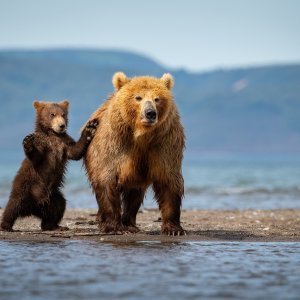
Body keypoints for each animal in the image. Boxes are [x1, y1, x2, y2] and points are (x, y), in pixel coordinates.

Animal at [0, 99, 98, 231]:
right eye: (52, 114)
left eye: (63, 114)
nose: (62, 125)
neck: (53, 135)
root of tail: (32, 209)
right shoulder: (43, 144)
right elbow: (37, 157)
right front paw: (28, 142)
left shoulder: (64, 143)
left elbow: (75, 151)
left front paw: (90, 128)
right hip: (25, 187)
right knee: (13, 206)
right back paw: (6, 225)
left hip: (52, 196)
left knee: (59, 206)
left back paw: (54, 225)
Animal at [84, 71, 185, 236]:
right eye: (138, 97)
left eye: (157, 98)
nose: (150, 113)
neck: (141, 135)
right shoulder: (116, 142)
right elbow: (106, 178)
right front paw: (113, 226)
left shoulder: (164, 143)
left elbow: (168, 180)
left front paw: (173, 229)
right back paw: (102, 219)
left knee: (134, 193)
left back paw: (130, 224)